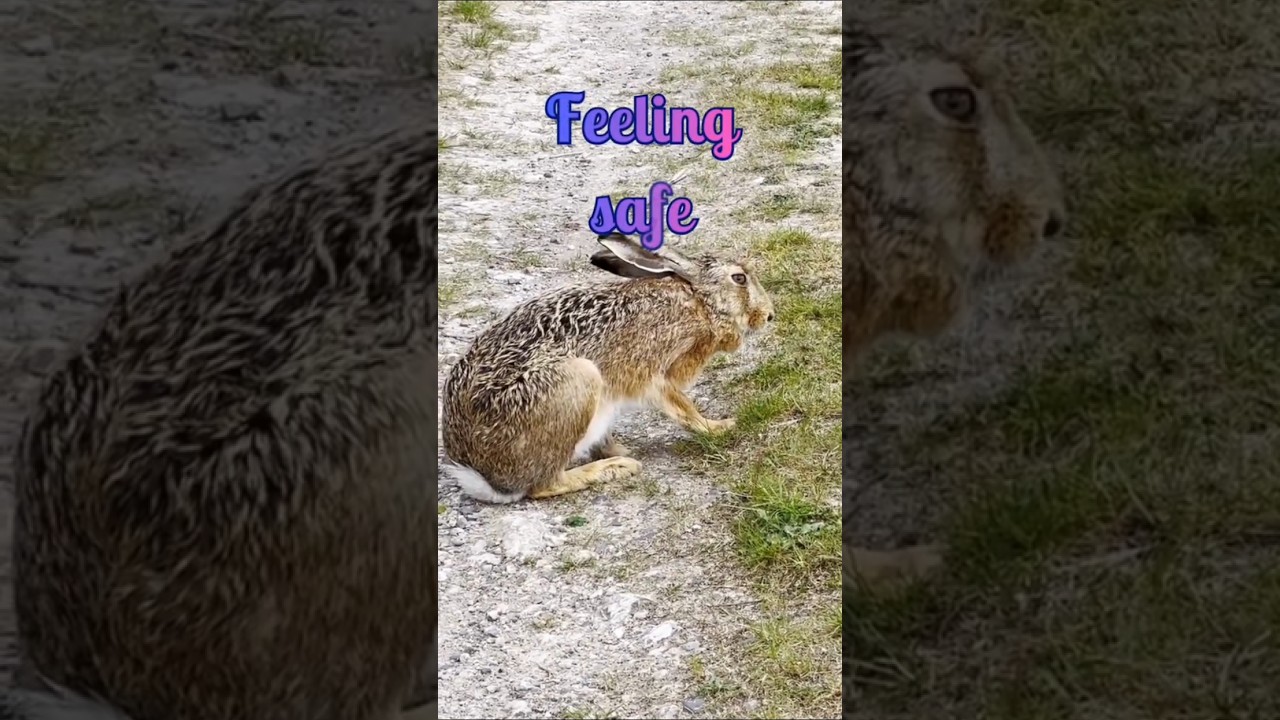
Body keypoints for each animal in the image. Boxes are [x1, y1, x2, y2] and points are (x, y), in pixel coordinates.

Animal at [441, 232, 775, 503]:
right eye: (739, 278)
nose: (769, 315)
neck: (700, 302)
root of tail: (484, 476)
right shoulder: (654, 370)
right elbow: (681, 406)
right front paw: (720, 426)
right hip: (579, 382)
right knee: (543, 485)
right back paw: (615, 467)